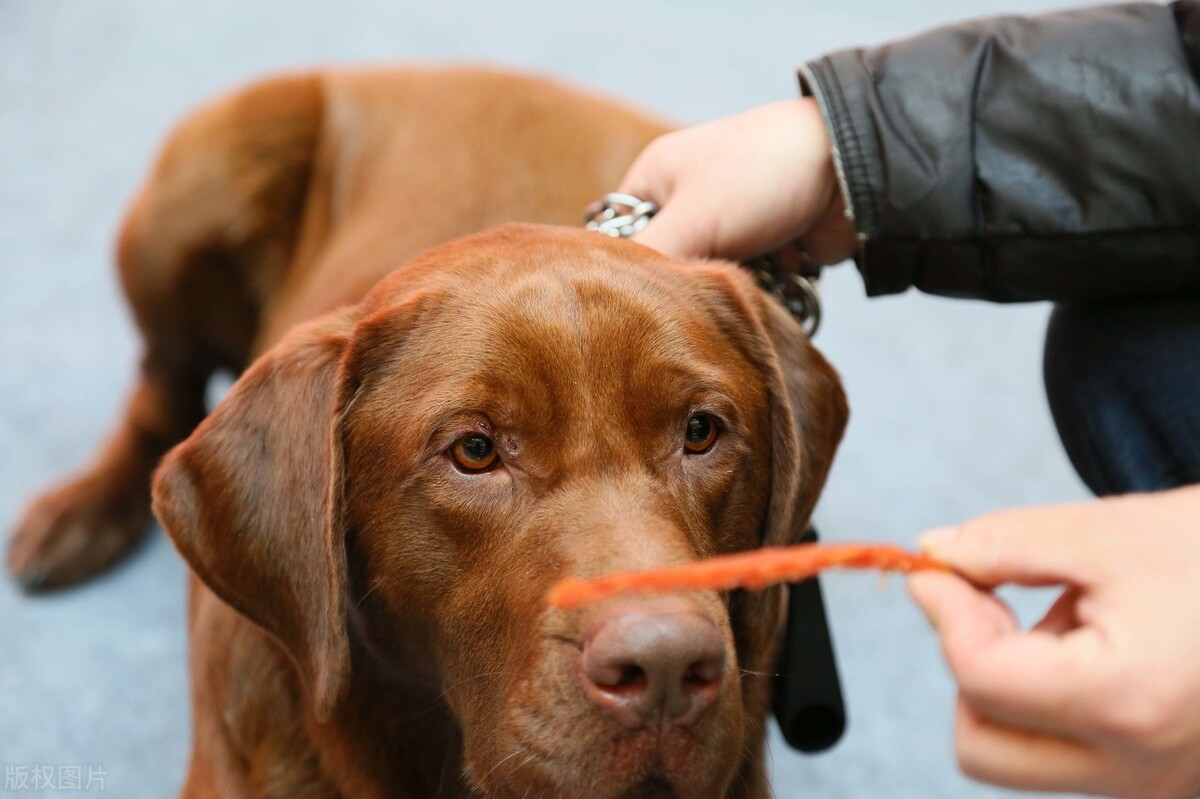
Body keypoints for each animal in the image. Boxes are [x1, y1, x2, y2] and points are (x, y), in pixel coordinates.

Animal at [7, 66, 844, 796]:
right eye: (474, 450)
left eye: (701, 431)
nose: (666, 667)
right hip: (200, 177)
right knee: (163, 384)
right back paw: (76, 516)